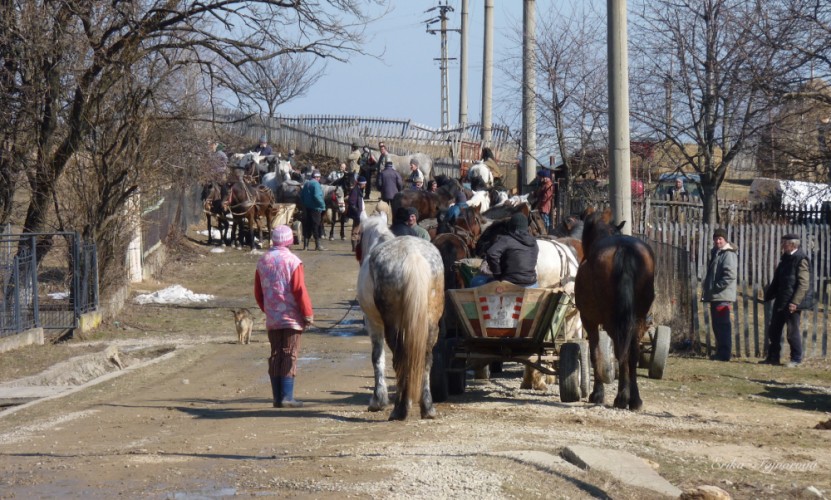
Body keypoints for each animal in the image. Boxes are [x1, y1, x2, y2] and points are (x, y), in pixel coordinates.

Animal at [358, 213, 448, 420]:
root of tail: (412, 255)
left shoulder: (373, 323)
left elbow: (377, 358)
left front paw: (378, 401)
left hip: (393, 326)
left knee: (400, 358)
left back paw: (400, 408)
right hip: (431, 323)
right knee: (426, 358)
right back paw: (427, 407)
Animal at [576, 207, 652, 410]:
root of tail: (624, 249)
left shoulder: (589, 321)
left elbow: (595, 354)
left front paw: (597, 393)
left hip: (612, 321)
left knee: (620, 351)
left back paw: (622, 397)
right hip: (638, 318)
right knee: (631, 352)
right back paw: (634, 399)